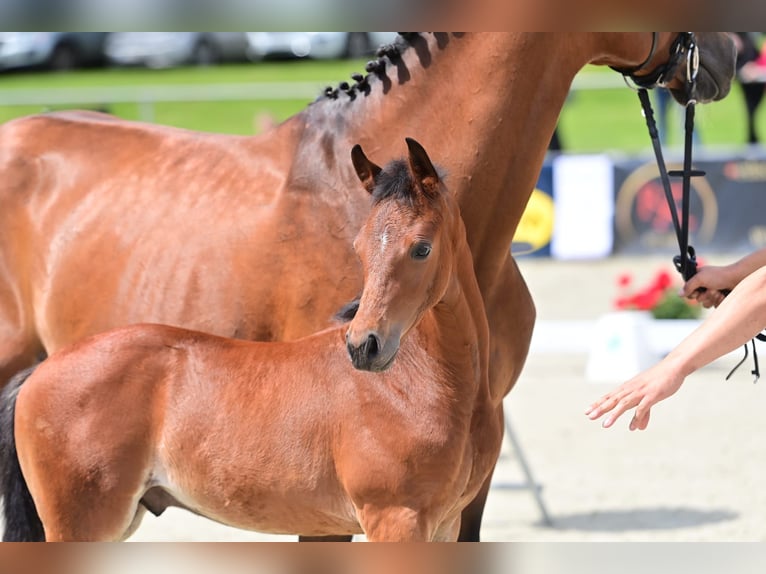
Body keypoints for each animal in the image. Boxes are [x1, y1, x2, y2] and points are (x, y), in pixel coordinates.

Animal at [0, 140, 500, 544]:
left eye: (421, 248)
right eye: (359, 248)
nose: (364, 346)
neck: (419, 387)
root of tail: (36, 374)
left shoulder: (444, 525)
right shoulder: (394, 519)